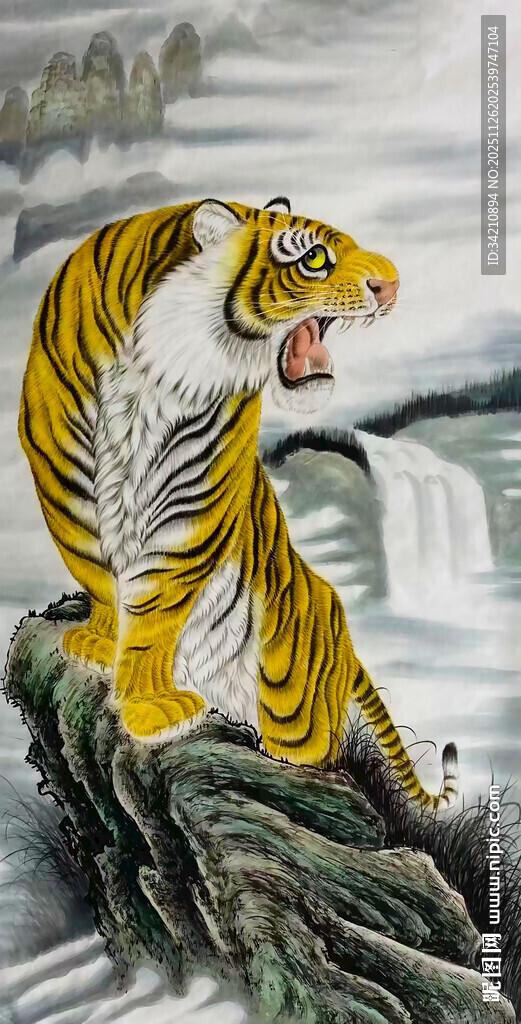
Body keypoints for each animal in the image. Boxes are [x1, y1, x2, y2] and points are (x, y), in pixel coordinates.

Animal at [19, 194, 459, 810]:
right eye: (315, 258)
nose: (391, 285)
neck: (151, 374)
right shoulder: (64, 479)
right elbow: (97, 573)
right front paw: (99, 641)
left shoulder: (192, 501)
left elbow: (155, 610)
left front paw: (148, 705)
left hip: (294, 709)